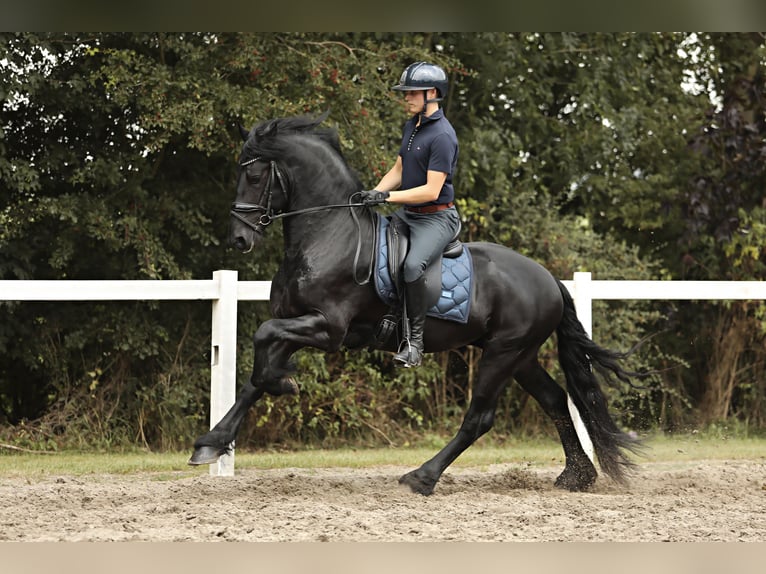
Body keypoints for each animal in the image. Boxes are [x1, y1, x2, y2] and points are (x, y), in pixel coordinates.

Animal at [189, 112, 644, 496]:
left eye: (253, 174)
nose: (239, 238)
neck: (329, 235)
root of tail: (548, 278)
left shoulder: (326, 327)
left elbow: (262, 350)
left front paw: (284, 384)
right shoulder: (295, 322)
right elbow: (255, 375)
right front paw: (212, 442)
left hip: (503, 353)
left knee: (479, 418)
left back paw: (422, 477)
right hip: (521, 356)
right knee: (554, 400)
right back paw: (576, 476)